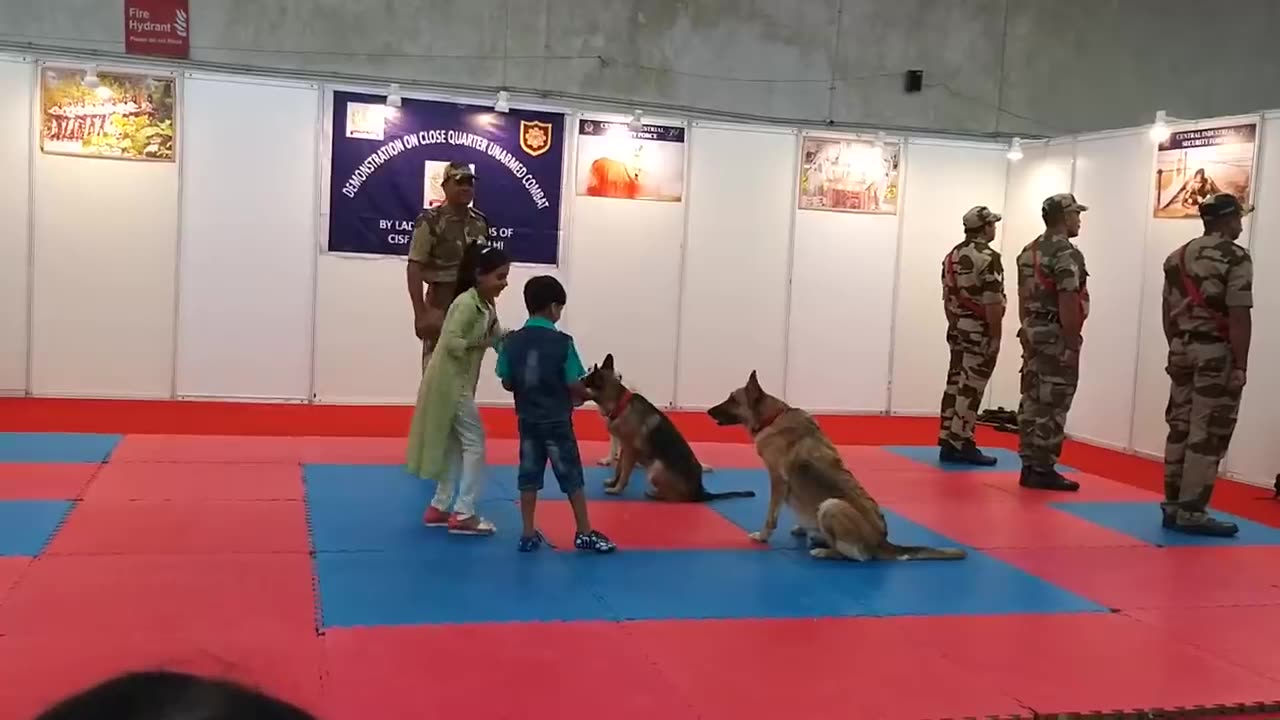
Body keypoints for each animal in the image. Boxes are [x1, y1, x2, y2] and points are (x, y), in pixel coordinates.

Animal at [586, 353, 752, 502]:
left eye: (585, 380)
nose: (580, 377)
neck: (620, 403)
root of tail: (701, 492)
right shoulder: (625, 448)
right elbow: (618, 469)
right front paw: (613, 481)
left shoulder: (630, 450)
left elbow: (624, 473)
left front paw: (617, 489)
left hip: (655, 469)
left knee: (679, 497)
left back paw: (655, 494)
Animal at [706, 368, 962, 561]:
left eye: (732, 399)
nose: (708, 411)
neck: (773, 417)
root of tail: (883, 542)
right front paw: (802, 528)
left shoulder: (778, 481)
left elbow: (771, 516)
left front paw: (763, 536)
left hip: (831, 505)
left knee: (857, 556)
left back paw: (825, 550)